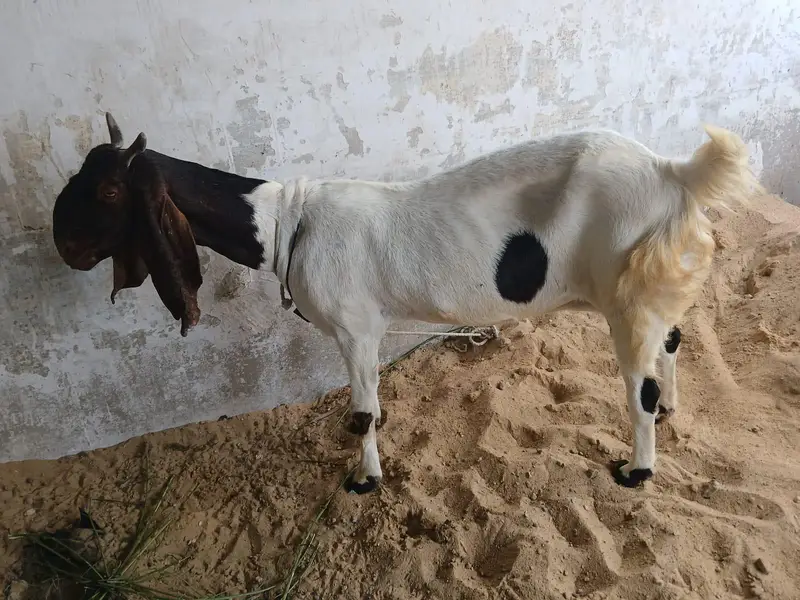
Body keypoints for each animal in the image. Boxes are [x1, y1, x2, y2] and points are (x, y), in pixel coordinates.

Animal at [53, 113, 761, 493]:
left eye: (111, 191)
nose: (65, 245)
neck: (287, 220)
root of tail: (671, 172)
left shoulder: (355, 329)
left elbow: (361, 413)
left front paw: (364, 482)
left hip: (625, 297)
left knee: (638, 384)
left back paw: (636, 470)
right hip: (652, 291)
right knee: (672, 344)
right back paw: (671, 412)